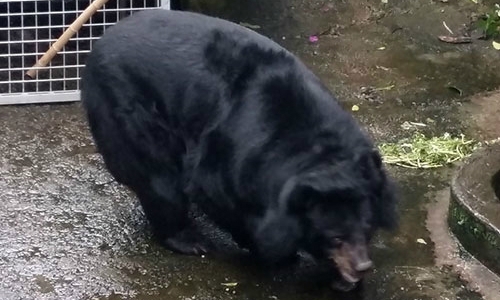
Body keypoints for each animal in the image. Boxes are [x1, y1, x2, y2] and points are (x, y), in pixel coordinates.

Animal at [81, 9, 398, 288]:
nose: (362, 266)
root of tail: (101, 39)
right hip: (127, 108)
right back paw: (187, 239)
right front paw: (276, 252)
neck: (316, 150)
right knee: (157, 177)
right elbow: (216, 192)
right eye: (335, 237)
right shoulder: (232, 152)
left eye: (367, 229)